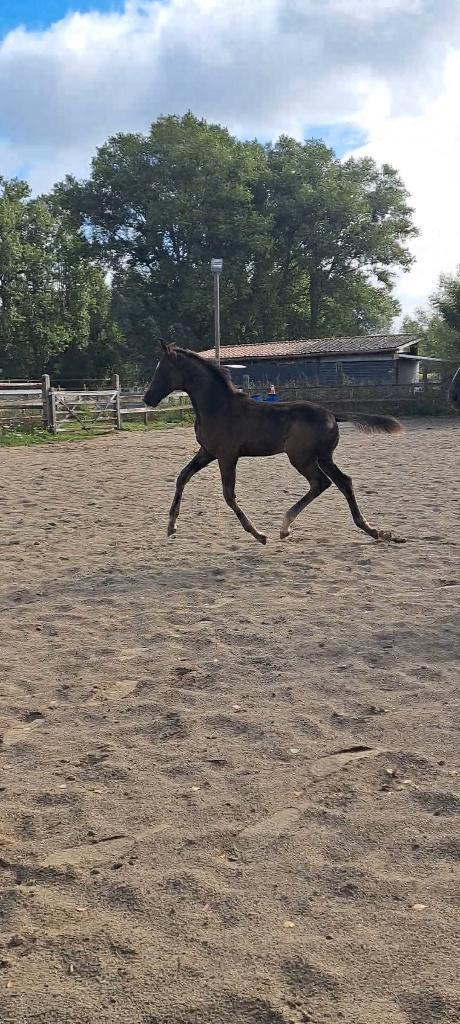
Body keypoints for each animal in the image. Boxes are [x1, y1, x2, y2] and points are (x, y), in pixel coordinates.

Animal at [144, 343, 404, 546]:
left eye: (162, 370)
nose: (148, 399)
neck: (219, 407)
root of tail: (332, 414)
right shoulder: (207, 451)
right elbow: (182, 477)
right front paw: (171, 527)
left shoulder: (227, 455)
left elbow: (228, 495)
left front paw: (258, 534)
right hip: (323, 457)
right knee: (343, 482)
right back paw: (373, 530)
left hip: (302, 458)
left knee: (321, 483)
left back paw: (285, 526)